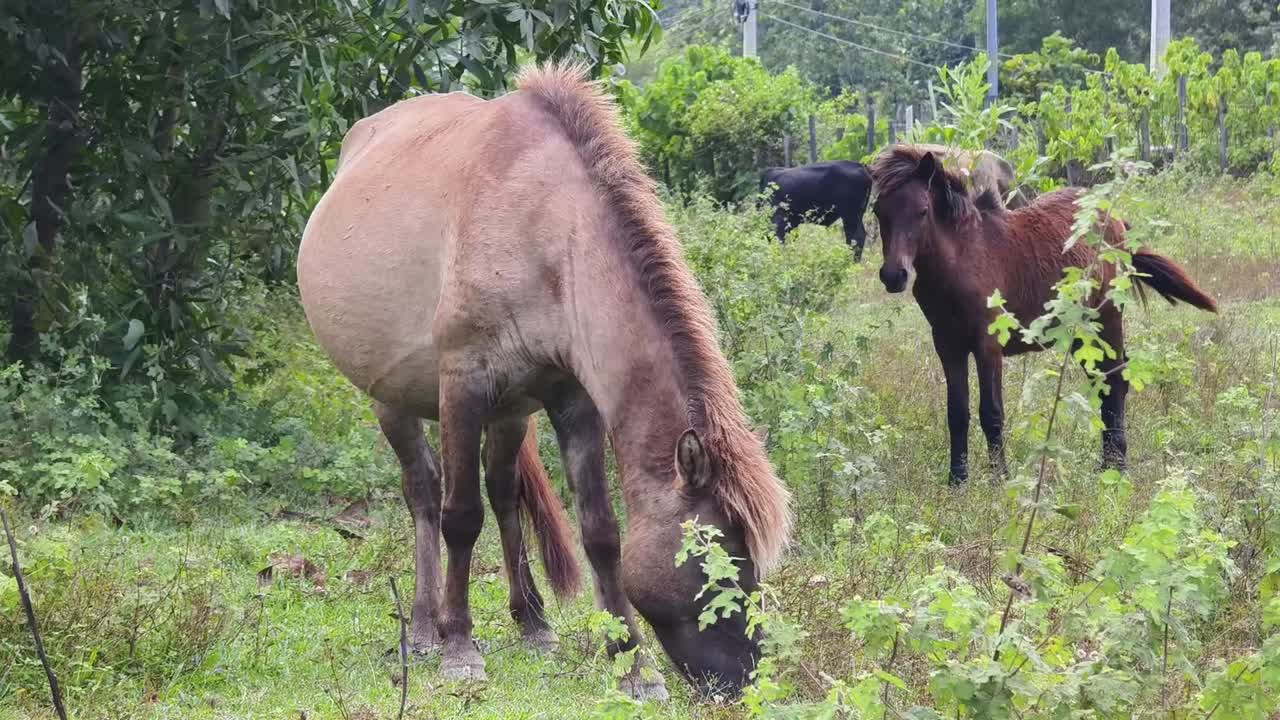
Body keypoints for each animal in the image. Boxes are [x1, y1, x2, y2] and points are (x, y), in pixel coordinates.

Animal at [297, 62, 791, 698]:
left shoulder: (572, 401)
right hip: (391, 398)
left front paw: (633, 664)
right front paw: (461, 650)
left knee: (504, 492)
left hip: (511, 411)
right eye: (715, 564)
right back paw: (426, 629)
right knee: (426, 494)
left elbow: (600, 532)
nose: (745, 681)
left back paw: (532, 623)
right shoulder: (462, 386)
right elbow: (462, 518)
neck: (543, 225)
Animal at [869, 146, 1217, 484]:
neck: (961, 260)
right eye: (878, 211)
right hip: (1080, 333)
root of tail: (1114, 220)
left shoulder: (987, 344)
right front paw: (957, 480)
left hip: (1107, 319)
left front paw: (999, 480)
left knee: (1115, 380)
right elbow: (957, 412)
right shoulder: (947, 345)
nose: (894, 276)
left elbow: (991, 412)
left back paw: (1116, 466)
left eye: (922, 211)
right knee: (1102, 380)